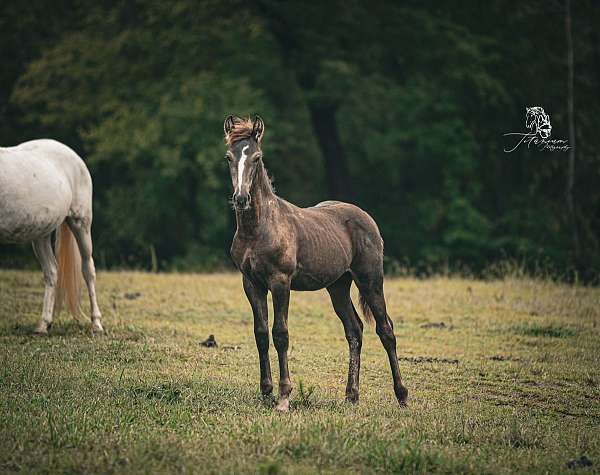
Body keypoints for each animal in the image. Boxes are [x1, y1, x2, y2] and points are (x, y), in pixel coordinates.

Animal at [0, 139, 103, 334]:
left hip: (81, 222)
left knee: (88, 270)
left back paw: (96, 324)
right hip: (41, 233)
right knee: (52, 272)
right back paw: (43, 324)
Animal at [224, 114, 408, 410]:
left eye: (257, 157)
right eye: (229, 157)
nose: (241, 198)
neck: (259, 229)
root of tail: (367, 218)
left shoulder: (280, 282)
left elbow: (280, 334)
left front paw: (284, 397)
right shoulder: (251, 283)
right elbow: (261, 333)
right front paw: (266, 392)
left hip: (370, 280)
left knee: (386, 330)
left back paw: (402, 396)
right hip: (338, 286)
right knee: (354, 330)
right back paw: (351, 396)